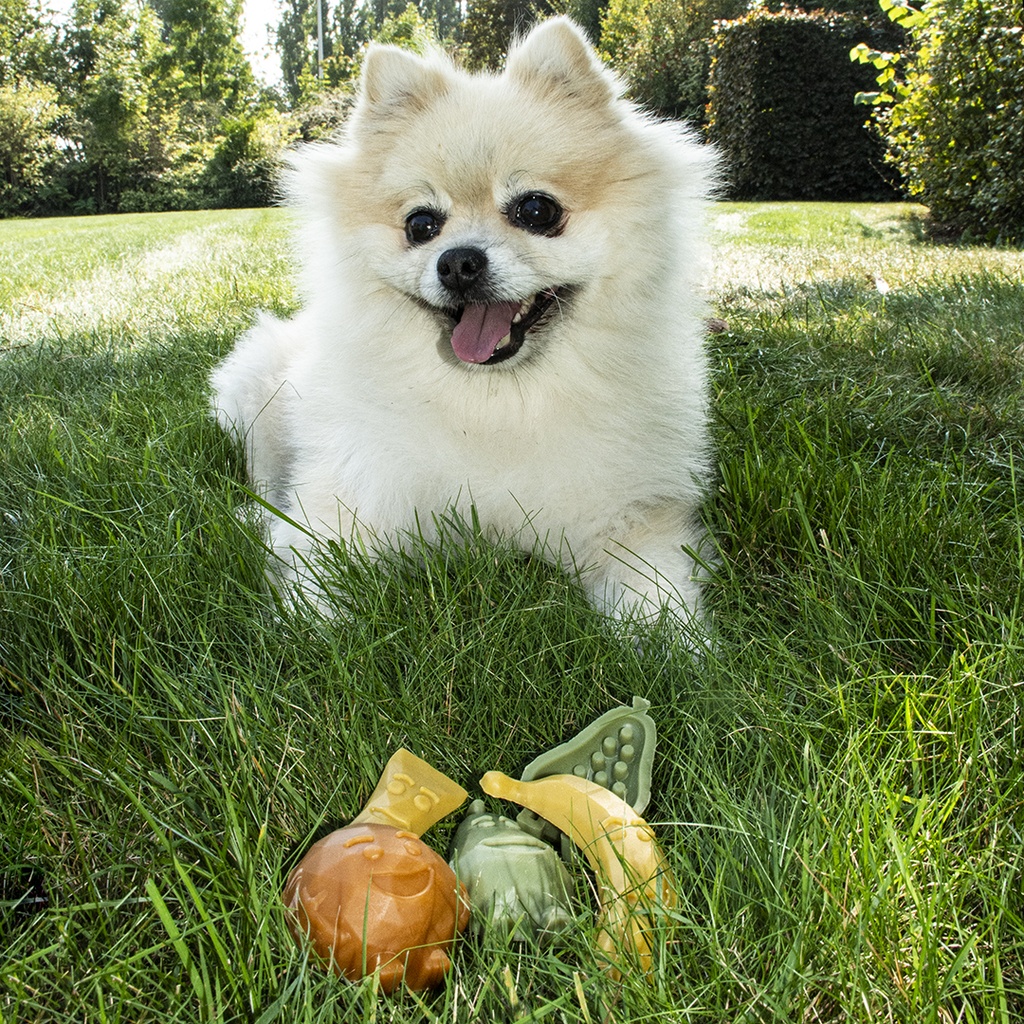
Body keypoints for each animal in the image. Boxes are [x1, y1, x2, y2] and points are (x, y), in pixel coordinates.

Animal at [211, 18, 716, 630]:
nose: (457, 262)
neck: (493, 403)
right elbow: (317, 570)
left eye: (536, 210)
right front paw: (308, 634)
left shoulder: (630, 515)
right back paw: (255, 515)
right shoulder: (351, 496)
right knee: (264, 472)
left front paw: (677, 647)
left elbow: (655, 597)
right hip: (256, 392)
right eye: (421, 225)